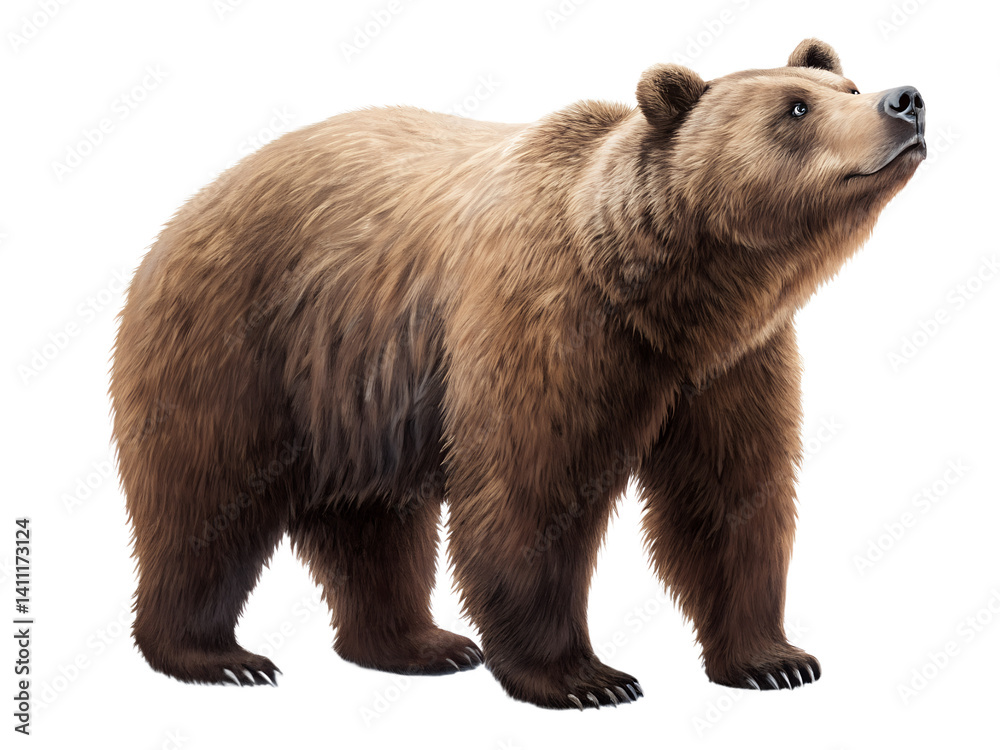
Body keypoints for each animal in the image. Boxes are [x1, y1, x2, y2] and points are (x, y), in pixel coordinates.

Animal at [110, 38, 926, 709]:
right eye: (797, 107)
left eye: (848, 84)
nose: (905, 100)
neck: (667, 295)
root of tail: (189, 206)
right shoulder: (548, 322)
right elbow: (532, 488)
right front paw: (586, 678)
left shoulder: (731, 363)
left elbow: (732, 493)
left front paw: (774, 660)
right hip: (243, 343)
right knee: (205, 495)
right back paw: (216, 656)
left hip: (357, 390)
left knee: (372, 519)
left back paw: (420, 644)